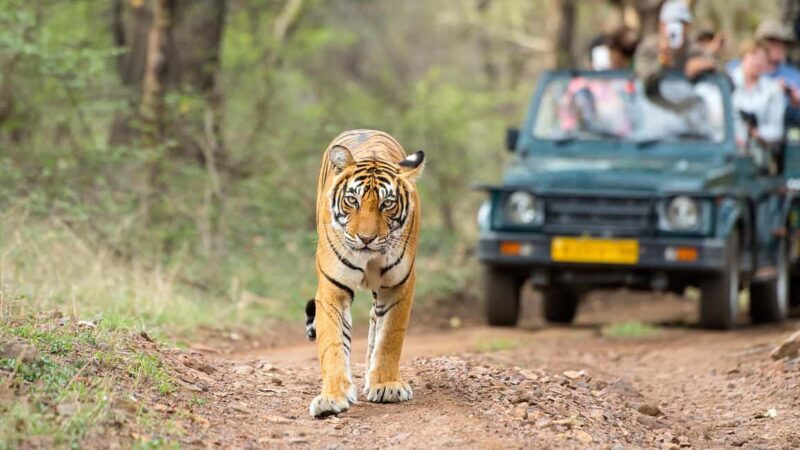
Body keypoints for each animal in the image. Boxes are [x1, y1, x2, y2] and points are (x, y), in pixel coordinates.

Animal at [305, 129, 425, 418]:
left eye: (387, 204)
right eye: (352, 200)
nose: (366, 239)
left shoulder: (399, 285)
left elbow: (390, 336)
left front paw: (386, 385)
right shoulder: (332, 288)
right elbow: (333, 343)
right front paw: (332, 397)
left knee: (374, 321)